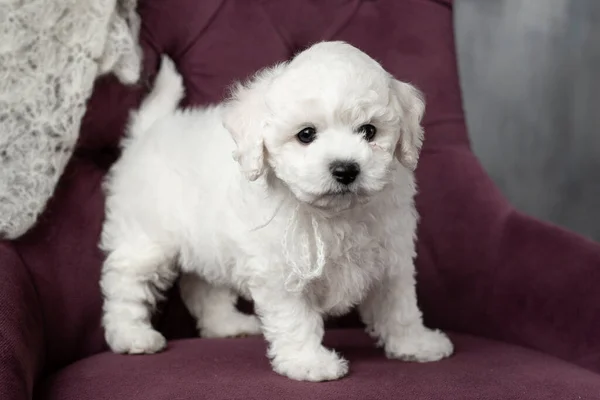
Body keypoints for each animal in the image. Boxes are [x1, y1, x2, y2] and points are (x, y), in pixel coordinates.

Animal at [101, 40, 452, 382]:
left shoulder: (391, 256)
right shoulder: (281, 269)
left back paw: (226, 325)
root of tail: (148, 132)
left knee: (204, 287)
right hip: (146, 238)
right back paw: (132, 335)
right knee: (126, 283)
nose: (346, 169)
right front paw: (309, 363)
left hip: (208, 242)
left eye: (369, 131)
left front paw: (416, 344)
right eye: (306, 134)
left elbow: (399, 306)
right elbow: (296, 319)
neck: (333, 214)